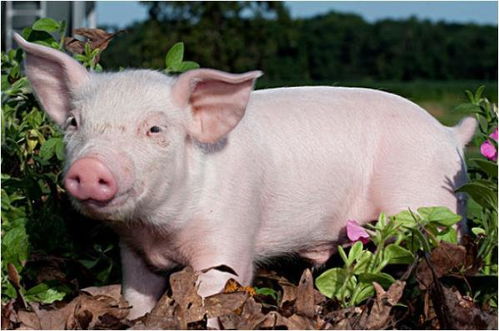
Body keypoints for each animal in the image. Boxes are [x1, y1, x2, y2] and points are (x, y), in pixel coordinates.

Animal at [15, 34, 476, 322]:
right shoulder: (132, 249)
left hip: (429, 205)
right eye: (74, 123)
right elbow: (137, 296)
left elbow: (213, 294)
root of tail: (449, 133)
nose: (90, 168)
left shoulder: (229, 234)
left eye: (155, 129)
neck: (158, 229)